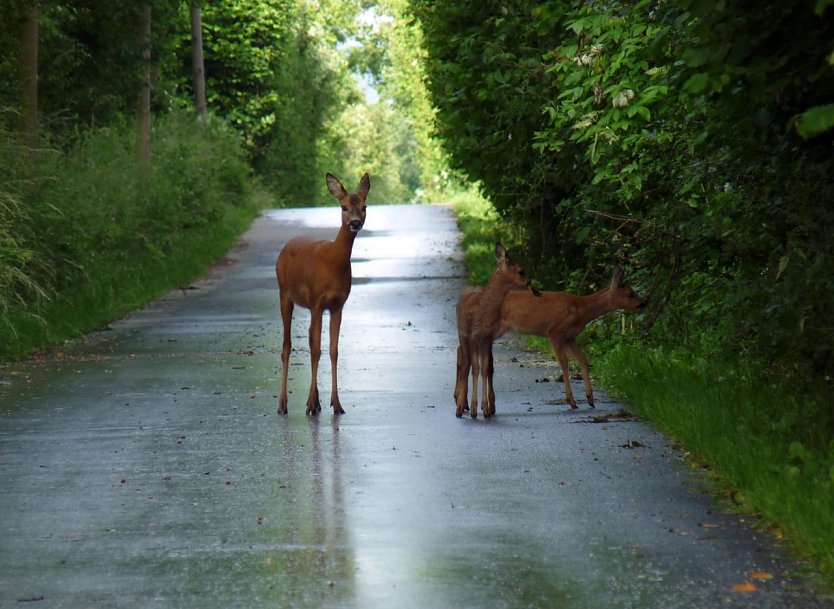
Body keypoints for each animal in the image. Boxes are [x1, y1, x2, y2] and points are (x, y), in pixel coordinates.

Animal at [274, 173, 368, 416]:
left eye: (364, 207)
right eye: (344, 207)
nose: (355, 223)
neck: (333, 262)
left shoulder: (337, 305)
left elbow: (333, 350)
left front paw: (336, 404)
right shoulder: (317, 301)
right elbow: (316, 350)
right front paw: (311, 403)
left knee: (308, 337)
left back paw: (314, 402)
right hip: (284, 293)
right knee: (287, 345)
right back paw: (283, 404)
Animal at [452, 242, 536, 418]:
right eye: (521, 270)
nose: (530, 282)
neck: (482, 308)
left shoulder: (487, 337)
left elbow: (485, 368)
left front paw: (484, 407)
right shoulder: (473, 336)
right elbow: (475, 368)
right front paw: (474, 408)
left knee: (470, 360)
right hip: (462, 334)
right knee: (464, 361)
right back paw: (461, 404)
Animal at [494, 268, 644, 406]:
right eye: (630, 294)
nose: (643, 303)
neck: (581, 310)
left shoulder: (569, 337)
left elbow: (582, 358)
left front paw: (590, 399)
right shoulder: (555, 332)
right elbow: (564, 362)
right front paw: (571, 400)